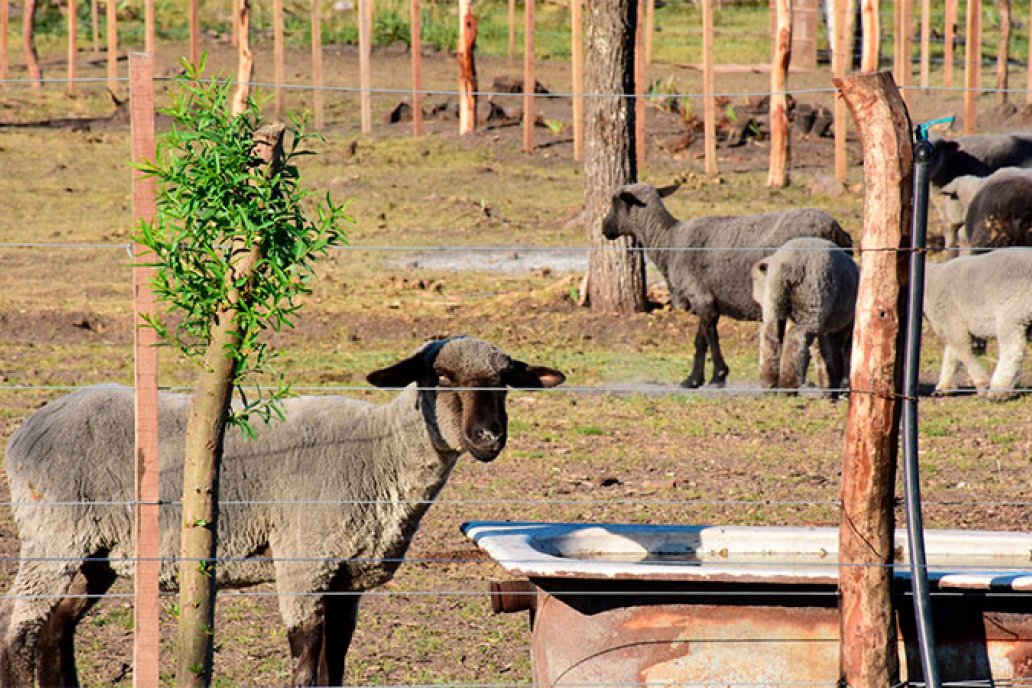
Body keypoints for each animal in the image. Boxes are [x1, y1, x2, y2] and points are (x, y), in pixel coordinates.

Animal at [0, 338, 565, 688]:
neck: (382, 454)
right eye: (441, 376)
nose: (488, 438)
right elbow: (306, 660)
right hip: (53, 533)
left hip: (96, 551)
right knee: (20, 628)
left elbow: (336, 660)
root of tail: (30, 426)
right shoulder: (302, 560)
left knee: (56, 625)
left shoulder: (344, 578)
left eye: (505, 380)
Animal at [602, 181, 850, 387]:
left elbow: (710, 336)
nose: (604, 229)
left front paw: (717, 376)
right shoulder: (706, 299)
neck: (669, 241)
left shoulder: (701, 296)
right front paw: (694, 379)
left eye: (615, 201)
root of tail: (835, 229)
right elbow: (700, 339)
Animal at [751, 237, 854, 398]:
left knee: (771, 336)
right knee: (797, 339)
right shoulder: (841, 325)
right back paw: (788, 386)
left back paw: (769, 385)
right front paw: (833, 390)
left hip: (775, 299)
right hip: (813, 300)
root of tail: (788, 266)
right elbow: (834, 353)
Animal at [924, 248, 1032, 400]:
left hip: (1012, 314)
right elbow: (951, 355)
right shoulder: (954, 325)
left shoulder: (952, 319)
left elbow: (964, 351)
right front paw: (943, 387)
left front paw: (982, 384)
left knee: (1012, 352)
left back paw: (997, 391)